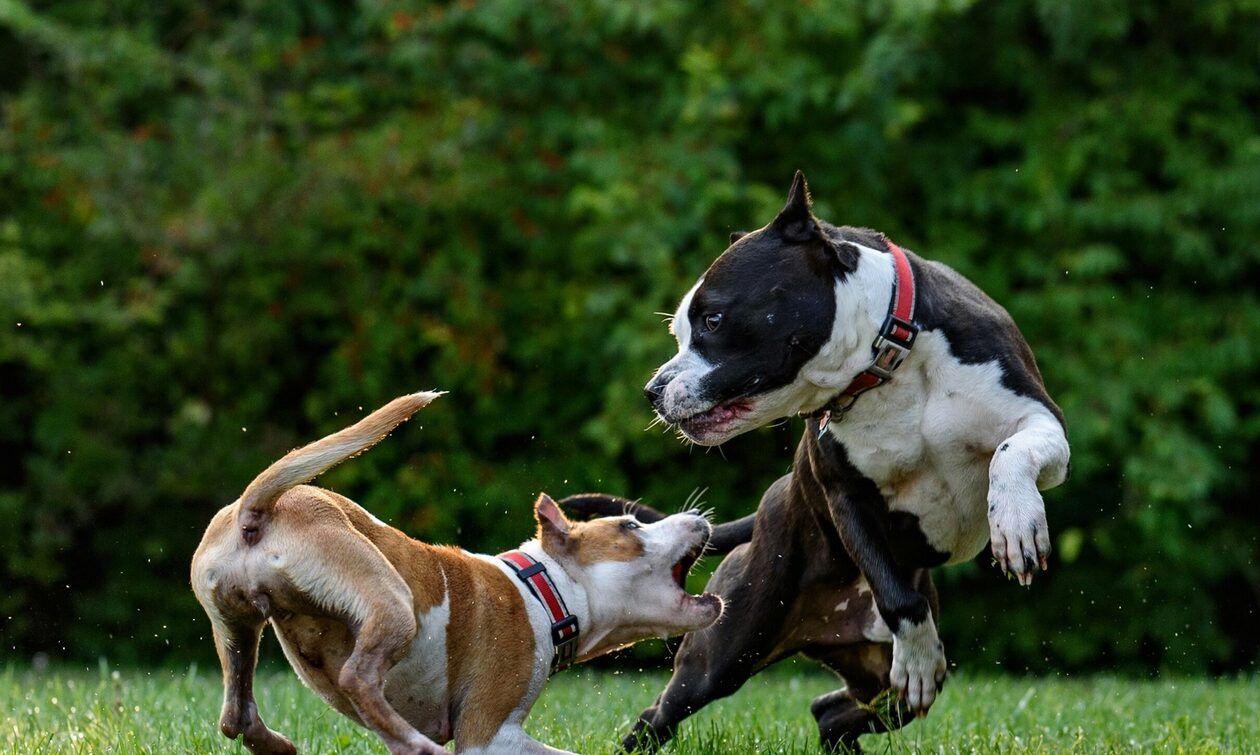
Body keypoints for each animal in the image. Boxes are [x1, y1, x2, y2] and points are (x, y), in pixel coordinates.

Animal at [186, 393, 720, 755]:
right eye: (631, 526)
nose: (700, 517)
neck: (544, 589)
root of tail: (257, 510)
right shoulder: (488, 735)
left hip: (235, 625)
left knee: (236, 714)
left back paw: (278, 743)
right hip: (389, 599)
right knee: (358, 676)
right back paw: (417, 745)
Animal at [619, 173, 1073, 751]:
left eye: (713, 320)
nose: (653, 390)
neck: (889, 362)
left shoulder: (1040, 421)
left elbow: (1011, 455)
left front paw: (1015, 523)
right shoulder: (846, 496)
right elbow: (898, 598)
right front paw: (918, 656)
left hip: (876, 683)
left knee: (832, 710)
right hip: (725, 651)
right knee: (661, 713)